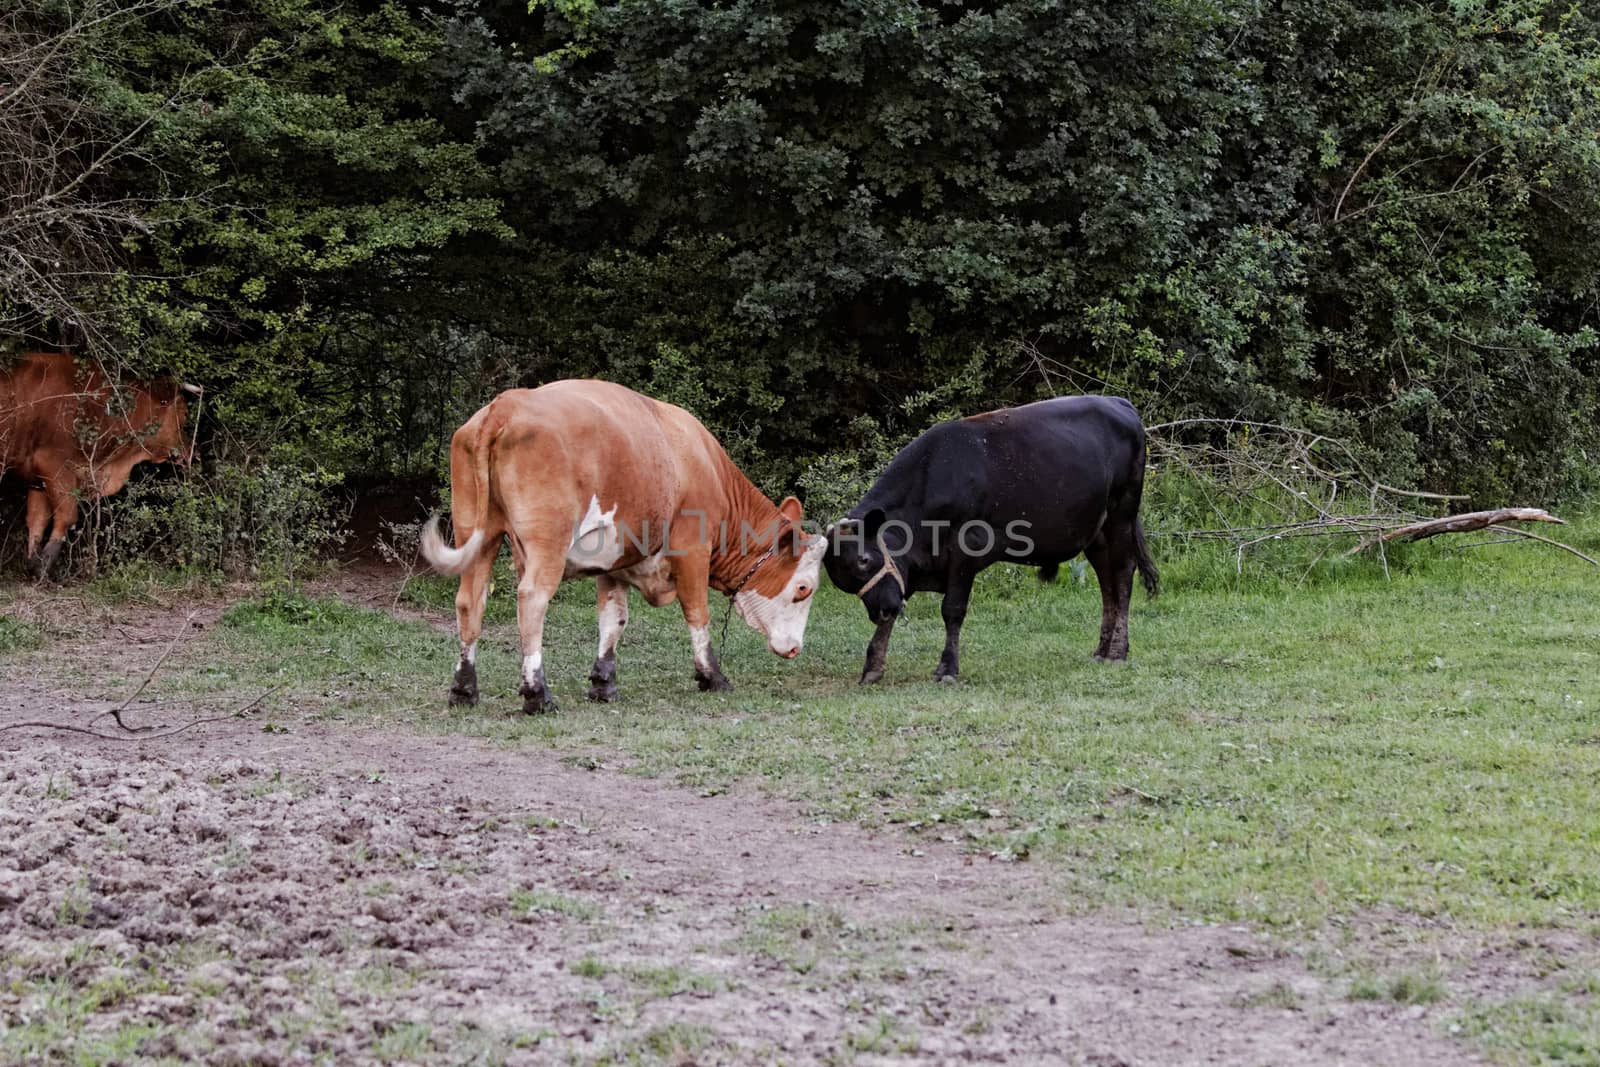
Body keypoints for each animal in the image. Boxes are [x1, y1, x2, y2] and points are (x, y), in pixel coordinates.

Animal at [0, 351, 198, 579]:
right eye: (184, 414)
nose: (192, 452)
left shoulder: (36, 478)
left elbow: (37, 520)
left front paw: (34, 565)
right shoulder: (54, 464)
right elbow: (67, 516)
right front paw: (43, 568)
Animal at [419, 379, 825, 713]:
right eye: (803, 588)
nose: (795, 649)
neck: (705, 466)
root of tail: (508, 403)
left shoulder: (614, 560)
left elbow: (613, 619)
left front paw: (604, 684)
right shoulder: (693, 548)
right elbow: (697, 612)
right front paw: (712, 676)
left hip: (479, 533)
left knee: (470, 601)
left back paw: (464, 689)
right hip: (546, 542)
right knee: (532, 599)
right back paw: (538, 694)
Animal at [832, 398, 1158, 684]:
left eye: (863, 560)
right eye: (843, 580)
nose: (881, 611)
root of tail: (1119, 402)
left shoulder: (966, 546)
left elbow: (952, 610)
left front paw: (947, 668)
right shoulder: (906, 568)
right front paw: (873, 666)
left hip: (1122, 514)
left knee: (1122, 574)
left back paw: (1117, 650)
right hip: (1096, 531)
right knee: (1106, 581)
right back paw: (1102, 650)